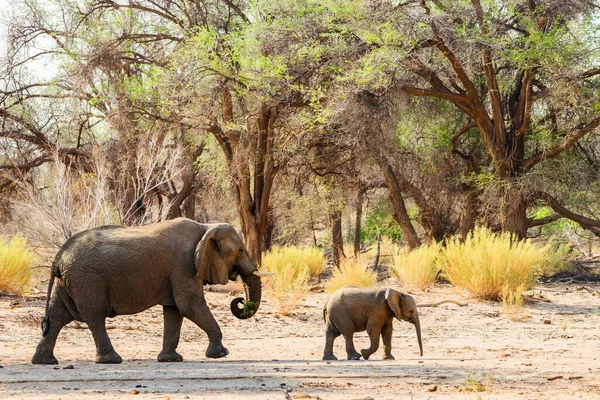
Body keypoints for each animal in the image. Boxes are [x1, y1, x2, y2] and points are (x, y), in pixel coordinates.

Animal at [31, 219, 264, 366]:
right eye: (240, 251)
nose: (240, 301)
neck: (205, 227)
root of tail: (59, 255)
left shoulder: (178, 270)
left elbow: (174, 310)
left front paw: (171, 359)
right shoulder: (184, 265)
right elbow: (189, 305)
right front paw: (220, 354)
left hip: (69, 281)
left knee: (58, 316)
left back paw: (44, 362)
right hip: (87, 279)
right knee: (94, 316)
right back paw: (111, 360)